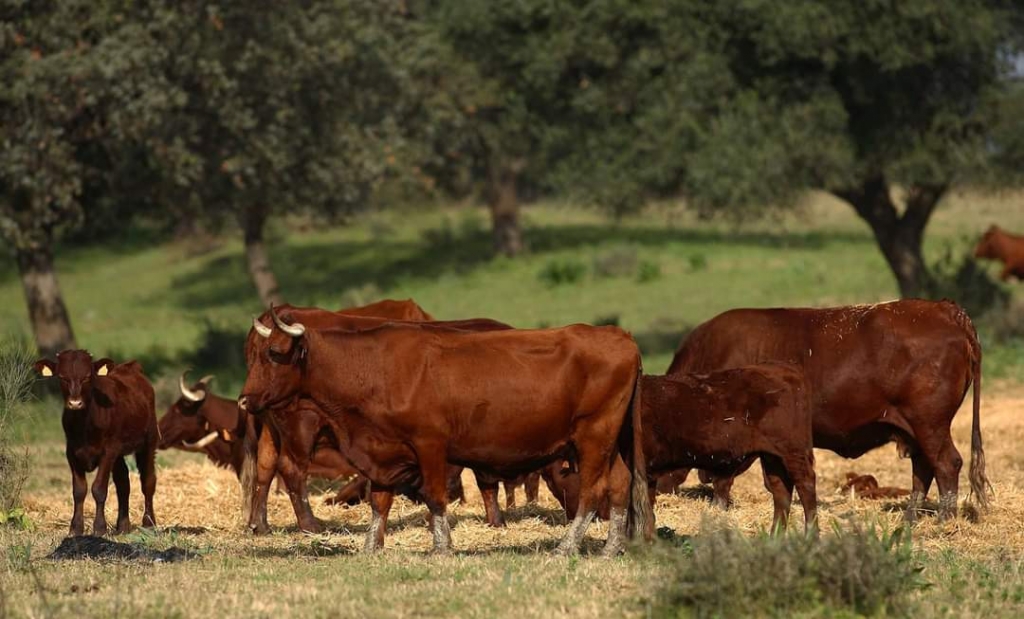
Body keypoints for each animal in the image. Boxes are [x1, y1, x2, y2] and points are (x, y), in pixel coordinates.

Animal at [36, 352, 158, 537]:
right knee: (123, 483)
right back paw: (123, 526)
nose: (75, 403)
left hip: (149, 441)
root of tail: (130, 367)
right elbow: (79, 491)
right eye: (62, 377)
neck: (84, 424)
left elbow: (99, 489)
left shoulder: (107, 452)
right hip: (119, 452)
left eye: (87, 377)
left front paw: (99, 528)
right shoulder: (72, 452)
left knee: (148, 481)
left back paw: (149, 523)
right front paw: (75, 528)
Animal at [238, 309, 647, 557]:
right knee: (619, 485)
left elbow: (435, 497)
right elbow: (379, 502)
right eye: (254, 354)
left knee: (593, 490)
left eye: (274, 353)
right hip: (613, 442)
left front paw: (441, 547)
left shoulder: (429, 444)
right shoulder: (382, 451)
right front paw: (371, 547)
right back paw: (611, 548)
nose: (244, 399)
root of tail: (619, 335)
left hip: (593, 436)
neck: (374, 369)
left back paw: (565, 547)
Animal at [667, 297, 987, 520]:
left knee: (946, 463)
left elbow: (723, 481)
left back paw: (945, 520)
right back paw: (910, 519)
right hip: (914, 430)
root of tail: (944, 309)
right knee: (923, 468)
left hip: (929, 424)